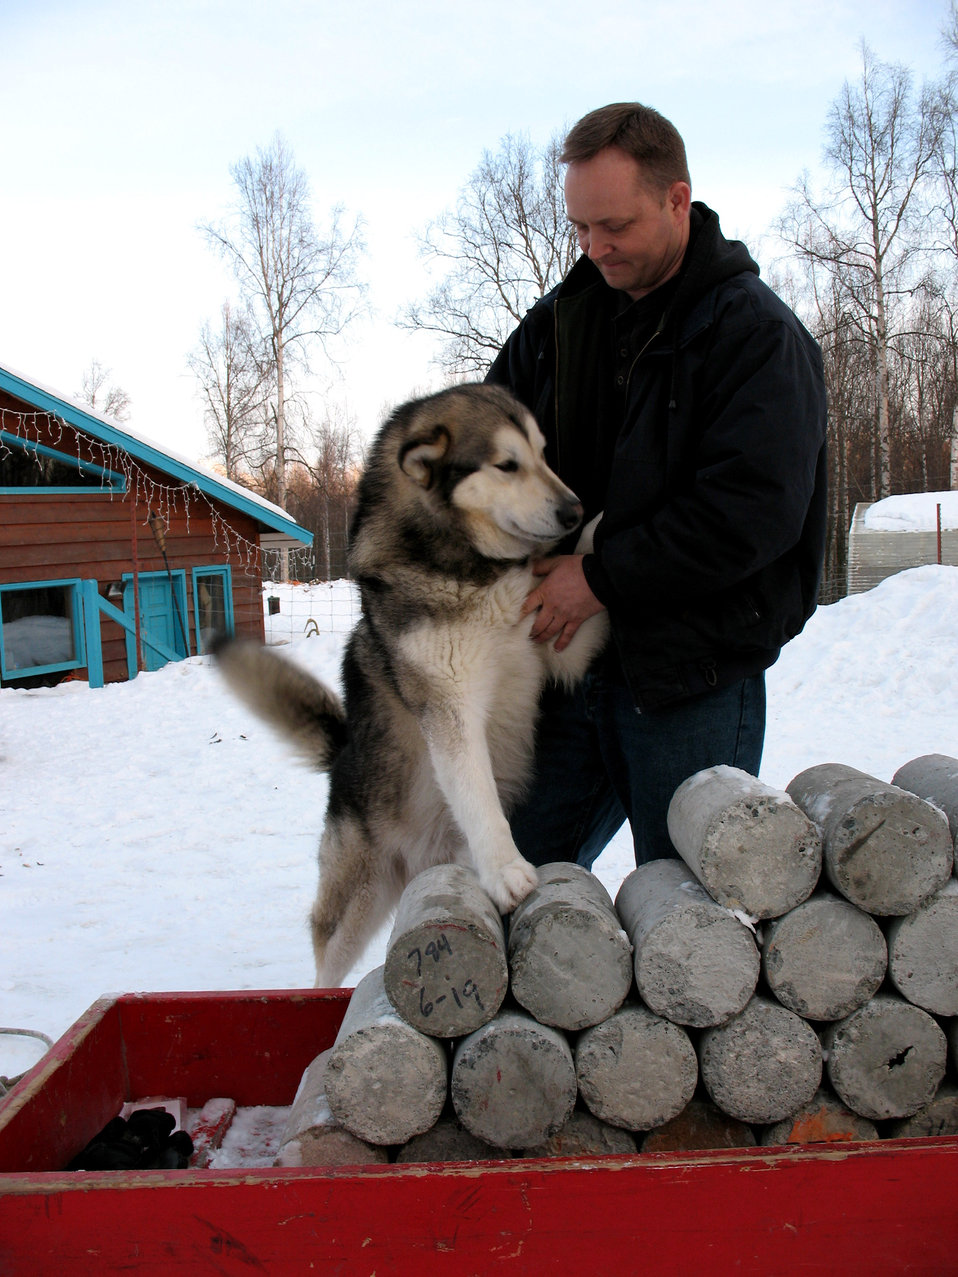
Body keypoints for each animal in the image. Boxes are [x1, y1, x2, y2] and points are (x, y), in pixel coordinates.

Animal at [217, 383, 608, 980]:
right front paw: (507, 872)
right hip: (356, 900)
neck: (468, 569)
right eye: (507, 464)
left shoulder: (562, 647)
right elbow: (480, 800)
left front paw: (603, 525)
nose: (573, 507)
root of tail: (342, 755)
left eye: (544, 455)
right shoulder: (450, 708)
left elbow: (582, 579)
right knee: (326, 961)